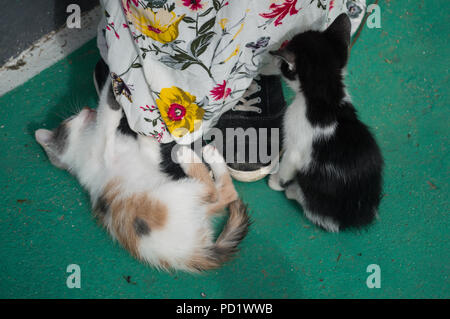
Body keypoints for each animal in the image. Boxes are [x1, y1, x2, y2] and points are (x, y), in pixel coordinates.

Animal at [35, 81, 251, 272]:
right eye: (69, 120)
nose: (87, 107)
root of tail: (192, 254)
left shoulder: (147, 156)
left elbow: (148, 147)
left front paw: (147, 127)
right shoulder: (102, 144)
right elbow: (107, 116)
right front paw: (114, 88)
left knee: (225, 195)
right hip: (175, 193)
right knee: (214, 191)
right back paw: (189, 155)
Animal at [268, 13, 384, 232]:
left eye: (283, 66)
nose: (276, 63)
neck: (326, 98)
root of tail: (358, 214)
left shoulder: (295, 147)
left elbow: (287, 166)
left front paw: (276, 182)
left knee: (319, 214)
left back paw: (292, 192)